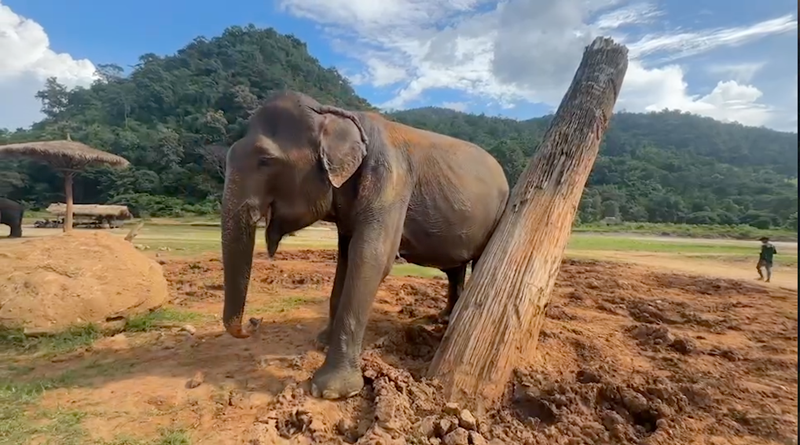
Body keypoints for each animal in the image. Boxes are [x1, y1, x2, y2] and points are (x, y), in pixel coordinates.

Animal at [220, 90, 506, 398]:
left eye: (265, 160)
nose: (253, 322)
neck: (336, 115)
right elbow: (345, 259)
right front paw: (321, 342)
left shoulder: (390, 179)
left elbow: (371, 258)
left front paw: (330, 390)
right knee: (454, 269)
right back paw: (443, 318)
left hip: (498, 215)